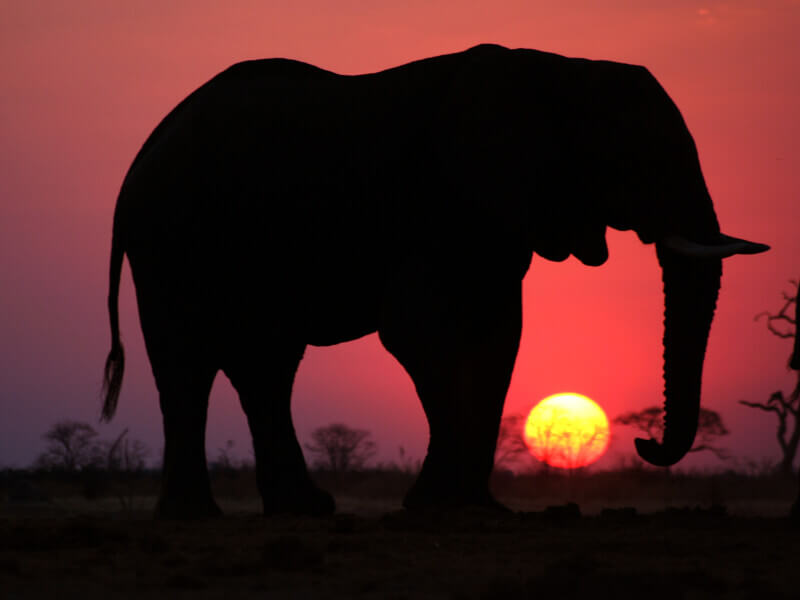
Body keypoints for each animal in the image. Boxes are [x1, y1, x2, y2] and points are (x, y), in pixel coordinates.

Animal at [101, 44, 768, 516]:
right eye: (634, 159)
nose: (645, 444)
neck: (558, 70)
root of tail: (140, 155)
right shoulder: (443, 202)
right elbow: (418, 332)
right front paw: (434, 507)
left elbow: (500, 336)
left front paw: (482, 510)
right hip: (169, 240)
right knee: (186, 363)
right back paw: (196, 516)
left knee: (265, 365)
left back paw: (301, 510)